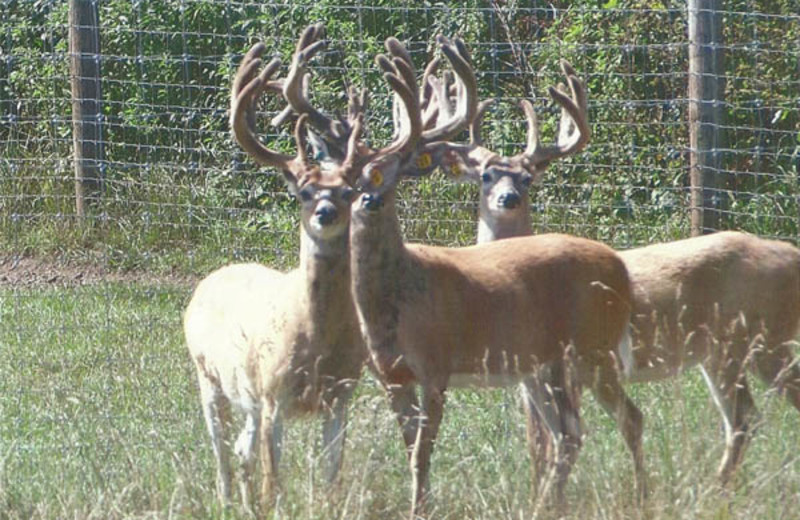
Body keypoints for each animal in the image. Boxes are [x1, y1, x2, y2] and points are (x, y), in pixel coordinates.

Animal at [184, 40, 362, 512]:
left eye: (349, 190)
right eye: (303, 191)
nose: (326, 213)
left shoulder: (341, 393)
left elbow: (333, 473)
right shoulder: (272, 392)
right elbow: (273, 480)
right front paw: (270, 506)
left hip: (245, 395)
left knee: (241, 449)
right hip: (207, 375)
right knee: (222, 452)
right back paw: (227, 501)